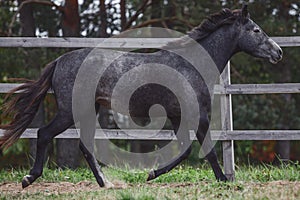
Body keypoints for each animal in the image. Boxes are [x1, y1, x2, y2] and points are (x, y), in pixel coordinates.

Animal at [0, 5, 282, 189]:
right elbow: (207, 151)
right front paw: (224, 181)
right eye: (256, 30)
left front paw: (151, 174)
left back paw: (105, 184)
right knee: (44, 134)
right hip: (69, 111)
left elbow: (185, 150)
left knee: (85, 146)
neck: (191, 64)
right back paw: (28, 179)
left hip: (89, 110)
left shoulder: (179, 116)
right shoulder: (197, 115)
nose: (278, 52)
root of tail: (60, 60)